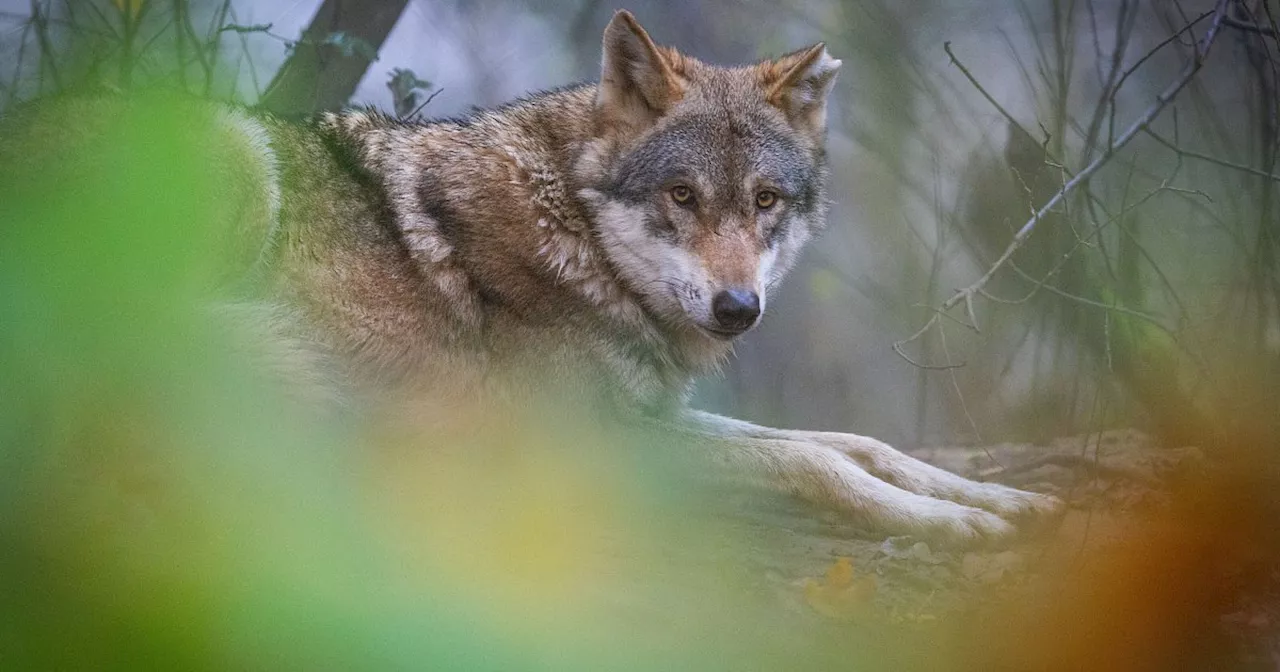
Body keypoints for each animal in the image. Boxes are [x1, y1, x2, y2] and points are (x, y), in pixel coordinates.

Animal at [7, 11, 1059, 545]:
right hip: (233, 168)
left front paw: (995, 502)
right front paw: (949, 524)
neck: (578, 240)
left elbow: (850, 441)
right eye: (681, 195)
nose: (737, 309)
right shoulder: (588, 448)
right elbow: (813, 462)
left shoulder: (652, 414)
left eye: (765, 201)